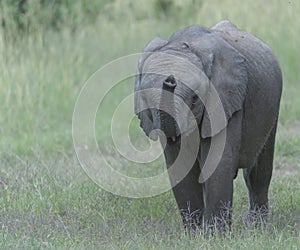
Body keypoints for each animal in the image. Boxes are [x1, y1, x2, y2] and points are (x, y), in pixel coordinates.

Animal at [134, 20, 282, 233]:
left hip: (271, 110)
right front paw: (194, 234)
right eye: (146, 101)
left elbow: (217, 162)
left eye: (195, 99)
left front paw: (215, 235)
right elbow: (181, 167)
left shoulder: (224, 99)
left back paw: (257, 228)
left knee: (257, 174)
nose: (169, 79)